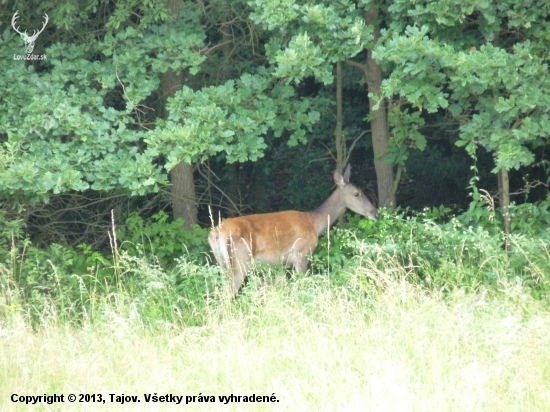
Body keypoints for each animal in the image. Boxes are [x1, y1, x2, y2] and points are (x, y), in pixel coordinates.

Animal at [209, 164, 382, 296]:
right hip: (241, 260)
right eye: (357, 193)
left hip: (222, 262)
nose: (375, 213)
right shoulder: (301, 254)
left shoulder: (281, 263)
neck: (314, 223)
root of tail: (217, 233)